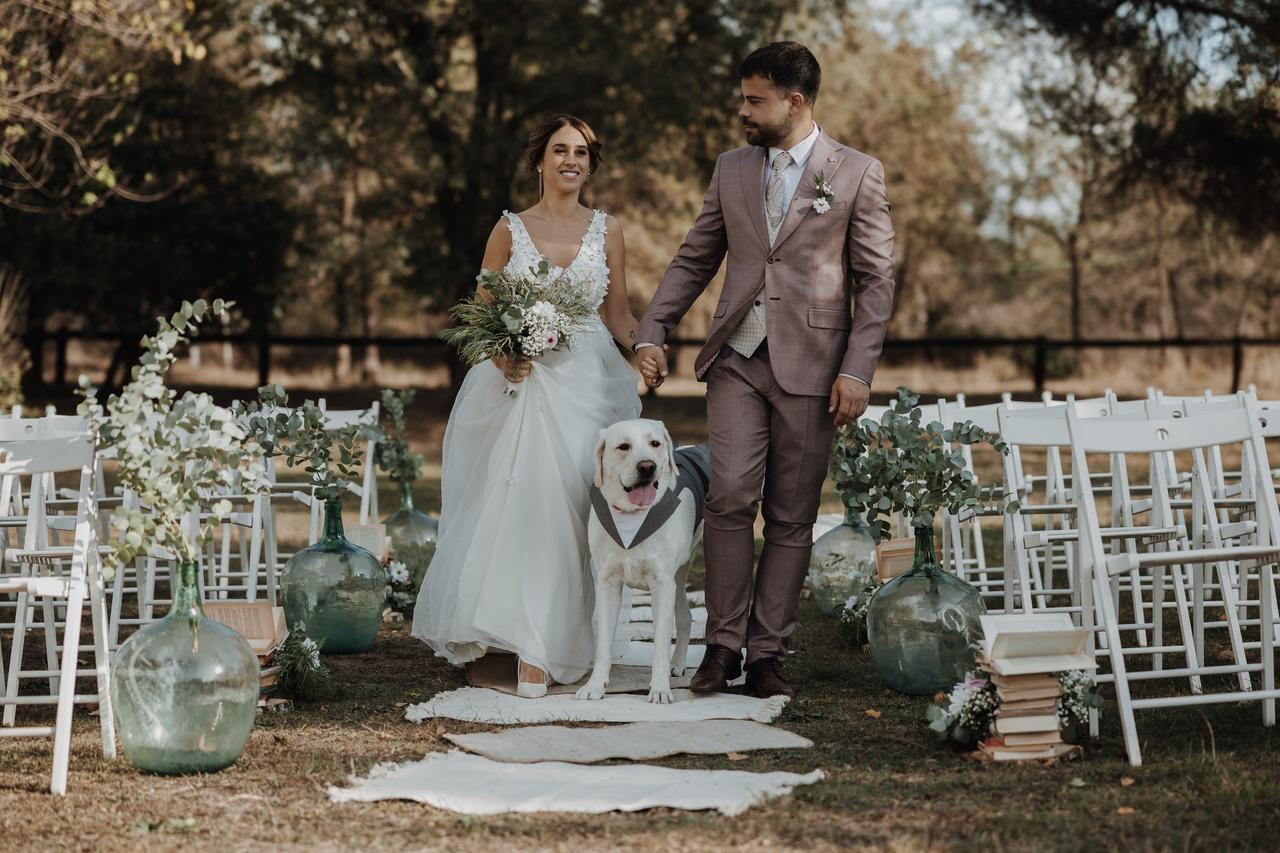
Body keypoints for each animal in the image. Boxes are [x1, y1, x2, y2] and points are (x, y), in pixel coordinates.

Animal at [581, 414, 711, 701]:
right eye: (623, 447)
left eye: (655, 443)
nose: (647, 467)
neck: (632, 516)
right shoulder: (607, 583)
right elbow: (603, 645)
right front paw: (595, 686)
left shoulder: (661, 584)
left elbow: (660, 645)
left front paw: (660, 690)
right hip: (679, 575)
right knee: (685, 616)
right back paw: (678, 664)